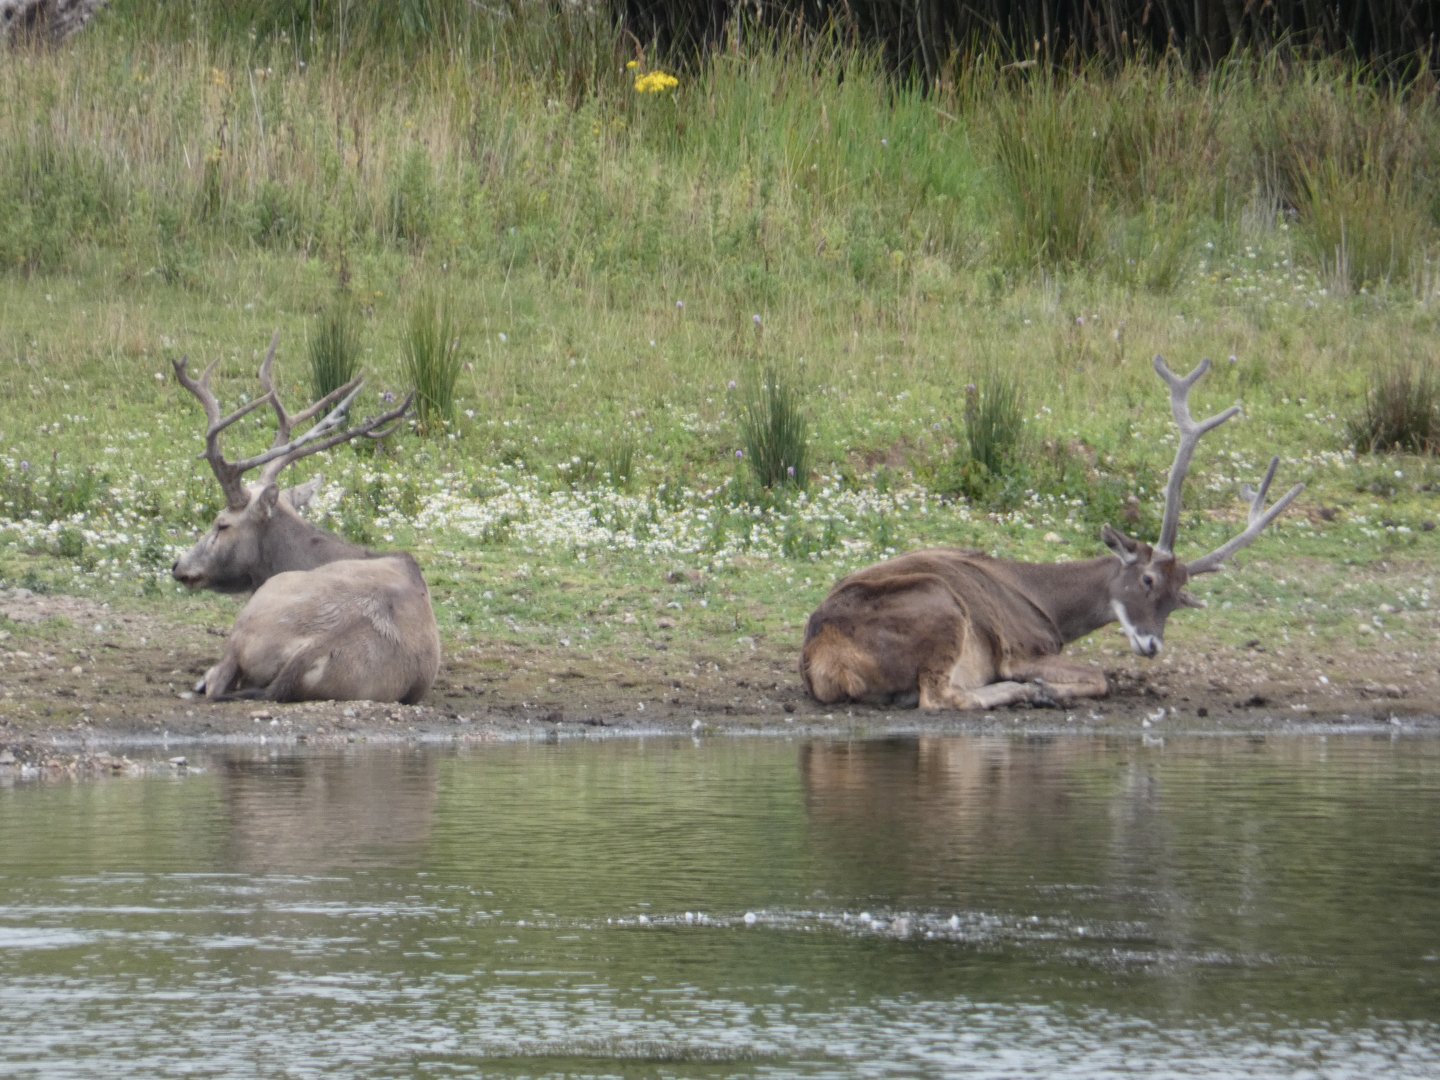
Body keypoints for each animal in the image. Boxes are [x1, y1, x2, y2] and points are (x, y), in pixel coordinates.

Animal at [801, 355, 1305, 712]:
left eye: (1180, 598)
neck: (1054, 610)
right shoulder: (1022, 648)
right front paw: (1045, 687)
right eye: (1147, 579)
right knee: (940, 698)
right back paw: (1025, 692)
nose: (1151, 644)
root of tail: (822, 660)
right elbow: (1100, 677)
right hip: (939, 607)